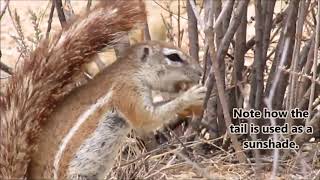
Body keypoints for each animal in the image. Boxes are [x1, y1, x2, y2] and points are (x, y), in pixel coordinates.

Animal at [0, 0, 205, 179]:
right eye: (174, 57)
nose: (200, 72)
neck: (132, 71)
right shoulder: (125, 92)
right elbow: (145, 119)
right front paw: (190, 96)